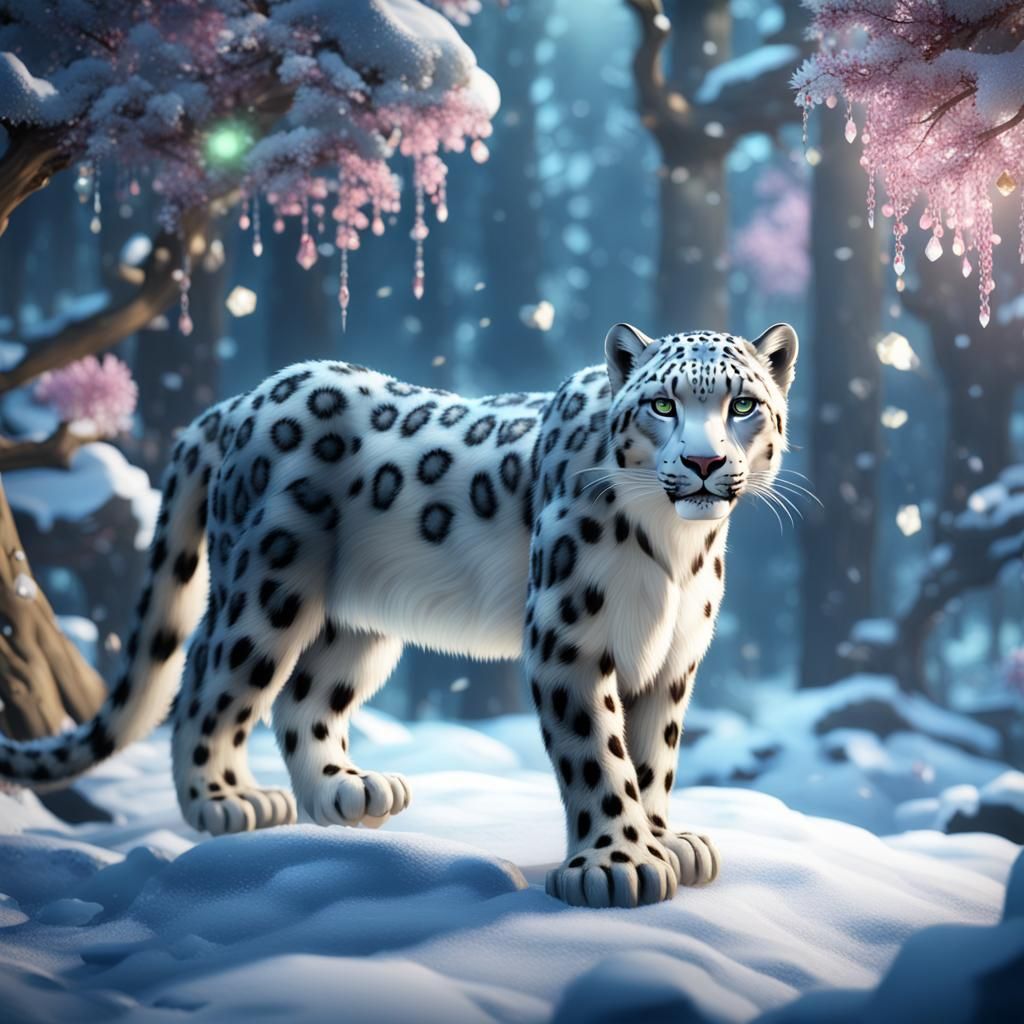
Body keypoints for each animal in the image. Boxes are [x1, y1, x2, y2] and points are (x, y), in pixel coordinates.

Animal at [0, 320, 798, 908]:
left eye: (743, 405)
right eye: (663, 405)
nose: (702, 464)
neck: (678, 554)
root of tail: (242, 400)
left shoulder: (672, 658)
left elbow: (654, 755)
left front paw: (665, 843)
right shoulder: (568, 635)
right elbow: (598, 752)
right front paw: (617, 864)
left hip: (358, 624)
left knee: (303, 697)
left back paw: (345, 792)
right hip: (265, 584)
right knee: (209, 682)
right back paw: (224, 801)